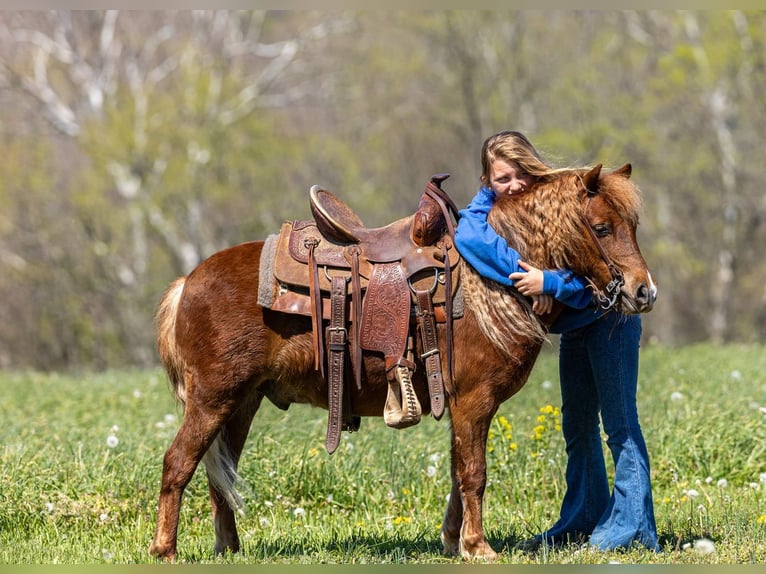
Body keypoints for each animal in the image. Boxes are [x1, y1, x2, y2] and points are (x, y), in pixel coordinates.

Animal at [148, 163, 656, 561]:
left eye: (632, 225)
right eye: (603, 227)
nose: (643, 291)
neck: (491, 280)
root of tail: (187, 281)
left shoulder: (461, 406)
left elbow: (457, 469)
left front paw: (453, 540)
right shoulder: (475, 401)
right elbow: (474, 472)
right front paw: (478, 546)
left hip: (240, 404)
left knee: (219, 475)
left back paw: (228, 548)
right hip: (213, 399)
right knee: (178, 464)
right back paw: (165, 549)